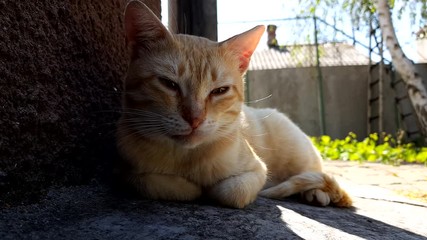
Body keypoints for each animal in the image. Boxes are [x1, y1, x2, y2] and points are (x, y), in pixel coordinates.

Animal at [118, 0, 352, 208]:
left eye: (220, 91)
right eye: (169, 84)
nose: (195, 119)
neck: (188, 158)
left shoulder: (258, 170)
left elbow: (231, 191)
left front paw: (209, 189)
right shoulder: (127, 169)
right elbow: (151, 182)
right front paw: (190, 187)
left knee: (314, 172)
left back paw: (316, 192)